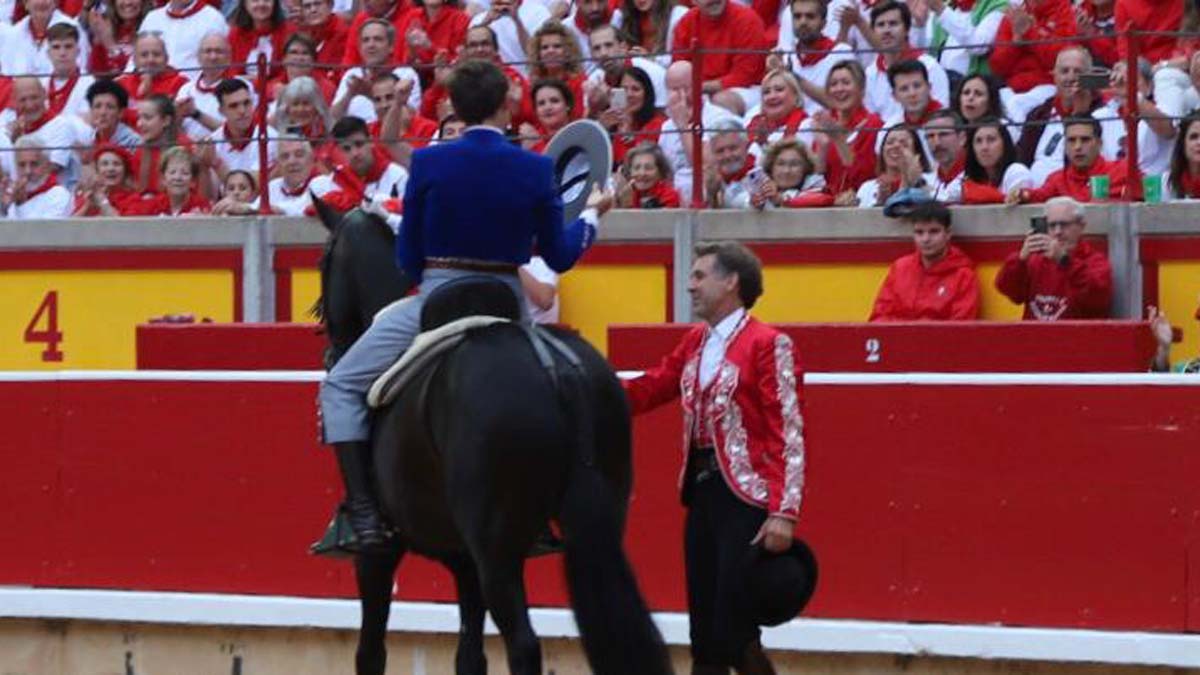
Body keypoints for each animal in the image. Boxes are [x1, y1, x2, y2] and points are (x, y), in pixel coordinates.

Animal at [312, 204, 676, 672]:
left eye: (324, 261)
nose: (331, 350)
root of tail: (558, 371)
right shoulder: (464, 559)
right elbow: (469, 654)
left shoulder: (378, 557)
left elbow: (370, 650)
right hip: (601, 519)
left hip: (496, 546)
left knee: (523, 643)